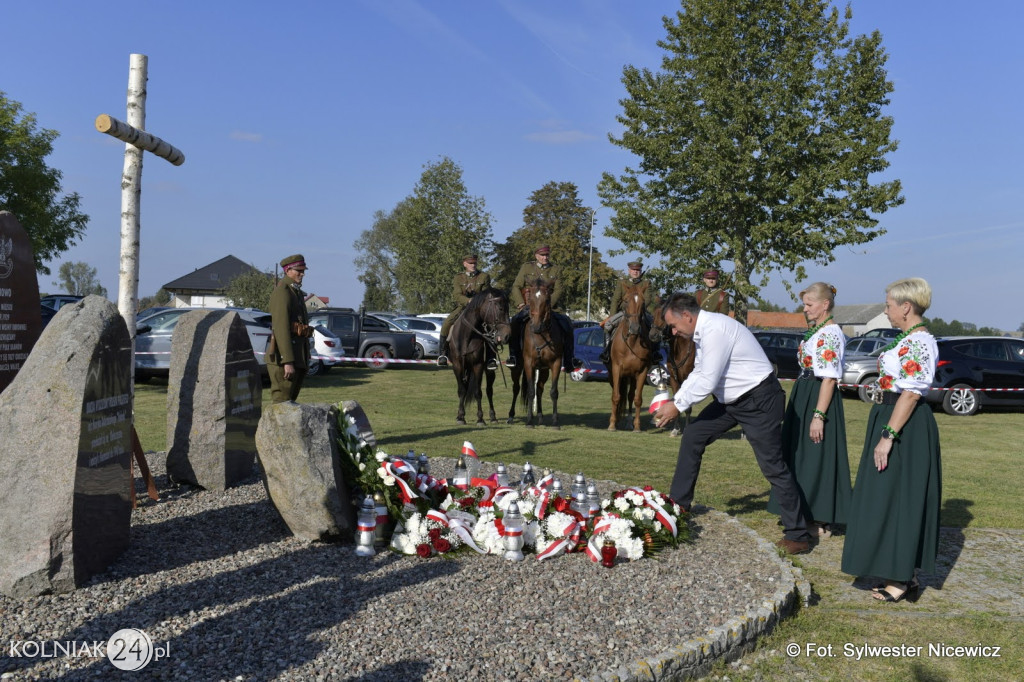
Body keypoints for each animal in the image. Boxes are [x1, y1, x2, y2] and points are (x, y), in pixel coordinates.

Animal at [448, 286, 512, 425]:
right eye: (500, 308)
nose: (506, 336)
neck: (466, 336)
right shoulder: (457, 366)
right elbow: (462, 390)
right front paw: (460, 417)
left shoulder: (478, 366)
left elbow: (478, 392)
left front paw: (480, 418)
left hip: (488, 370)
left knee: (489, 390)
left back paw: (493, 417)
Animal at [505, 278, 565, 428]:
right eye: (530, 299)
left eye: (547, 300)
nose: (536, 326)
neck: (541, 335)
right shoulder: (528, 364)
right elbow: (530, 392)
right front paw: (529, 421)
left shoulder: (555, 364)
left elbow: (553, 392)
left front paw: (555, 422)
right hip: (517, 368)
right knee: (516, 388)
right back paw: (511, 416)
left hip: (543, 370)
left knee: (539, 388)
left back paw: (540, 416)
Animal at [606, 278, 655, 428]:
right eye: (626, 301)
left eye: (643, 302)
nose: (634, 328)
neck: (631, 342)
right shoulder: (616, 369)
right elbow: (616, 396)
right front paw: (612, 424)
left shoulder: (642, 371)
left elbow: (637, 399)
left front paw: (637, 426)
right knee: (619, 393)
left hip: (632, 376)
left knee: (630, 395)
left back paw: (628, 421)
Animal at [651, 299, 700, 436]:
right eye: (652, 314)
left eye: (663, 317)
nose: (652, 335)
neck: (680, 351)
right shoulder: (674, 380)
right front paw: (675, 429)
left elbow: (687, 408)